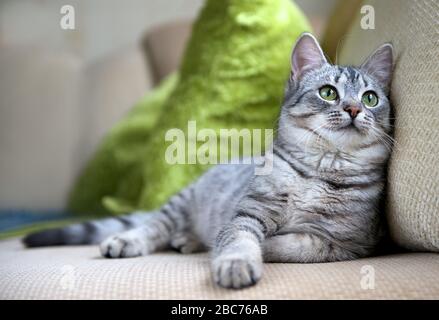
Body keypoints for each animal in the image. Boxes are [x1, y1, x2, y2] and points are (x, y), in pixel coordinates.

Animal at [24, 33, 396, 290]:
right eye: (328, 92)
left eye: (370, 98)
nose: (354, 109)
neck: (321, 169)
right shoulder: (250, 211)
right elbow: (240, 237)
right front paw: (236, 260)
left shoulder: (341, 242)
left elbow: (285, 244)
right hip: (180, 202)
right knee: (153, 227)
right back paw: (130, 240)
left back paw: (188, 241)